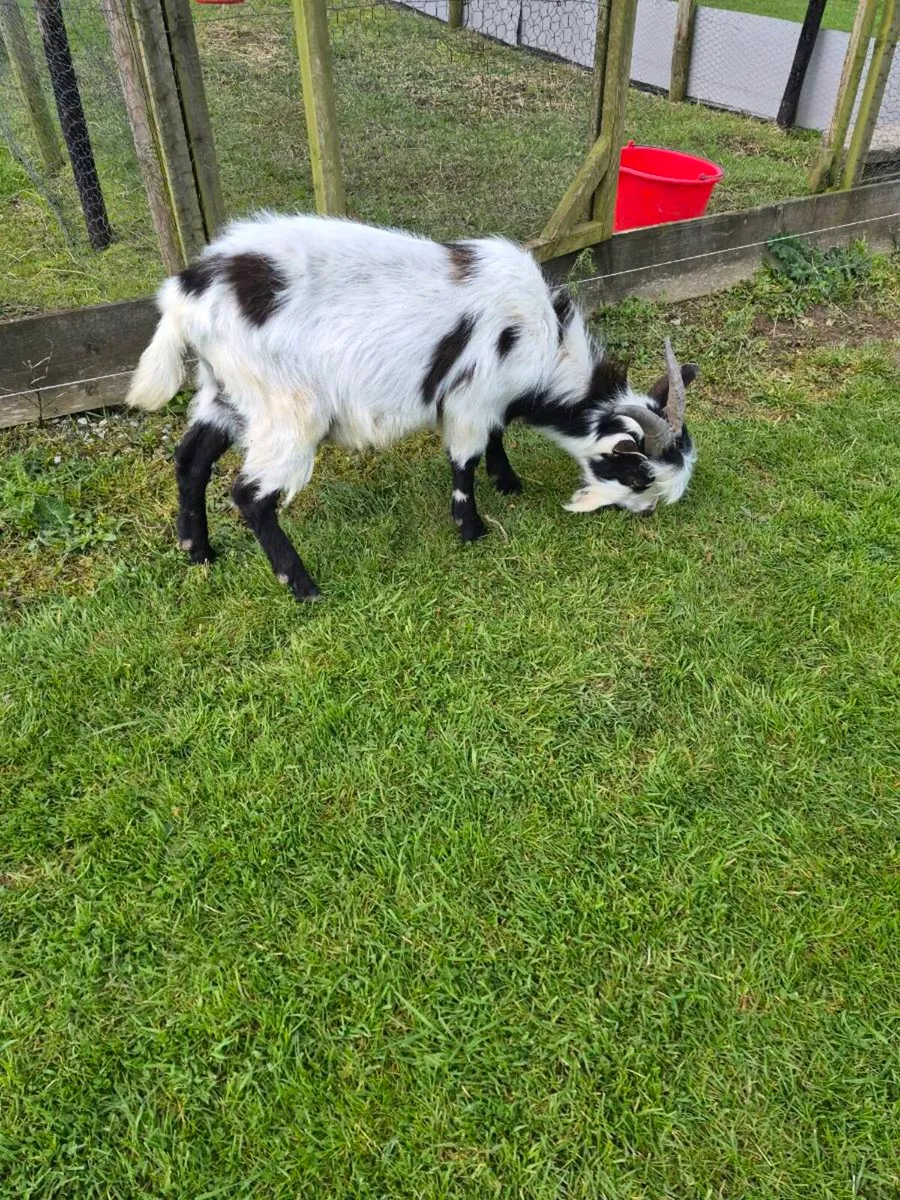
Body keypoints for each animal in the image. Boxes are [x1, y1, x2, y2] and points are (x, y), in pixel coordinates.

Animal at [126, 213, 698, 600]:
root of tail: (186, 293)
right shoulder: (469, 399)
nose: (643, 515)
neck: (544, 339)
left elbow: (497, 435)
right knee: (250, 495)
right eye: (638, 476)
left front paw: (507, 480)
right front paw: (472, 529)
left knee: (191, 459)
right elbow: (464, 462)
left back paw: (198, 552)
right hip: (286, 408)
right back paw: (301, 584)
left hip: (224, 391)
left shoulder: (490, 401)